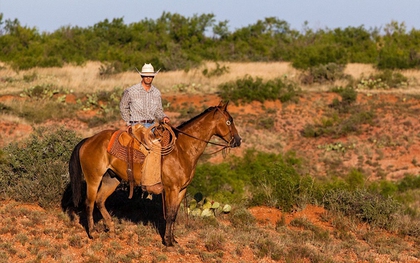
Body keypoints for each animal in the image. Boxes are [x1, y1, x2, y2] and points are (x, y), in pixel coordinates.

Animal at [68, 101, 240, 248]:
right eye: (229, 121)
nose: (238, 141)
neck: (182, 150)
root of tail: (88, 140)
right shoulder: (171, 189)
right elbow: (169, 215)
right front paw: (168, 242)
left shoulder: (181, 190)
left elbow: (174, 214)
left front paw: (173, 240)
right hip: (93, 179)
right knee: (89, 203)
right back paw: (92, 233)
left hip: (111, 179)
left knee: (100, 201)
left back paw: (111, 227)